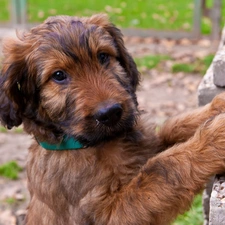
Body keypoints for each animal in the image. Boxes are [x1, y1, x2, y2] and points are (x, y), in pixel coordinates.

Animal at [0, 14, 225, 225]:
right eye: (58, 75)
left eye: (102, 56)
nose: (110, 113)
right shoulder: (106, 213)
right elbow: (162, 168)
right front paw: (215, 137)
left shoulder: (148, 147)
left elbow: (174, 127)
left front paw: (218, 106)